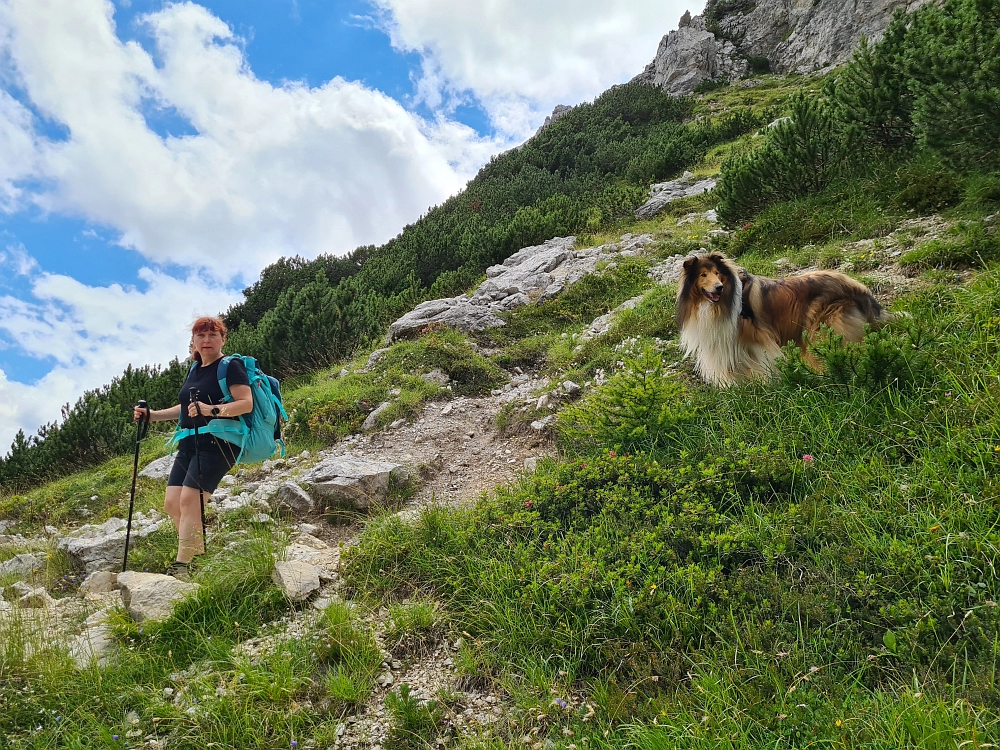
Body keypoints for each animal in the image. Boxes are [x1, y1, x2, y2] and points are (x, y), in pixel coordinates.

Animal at [676, 256, 888, 390]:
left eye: (717, 273)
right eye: (703, 275)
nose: (718, 287)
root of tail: (860, 287)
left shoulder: (758, 338)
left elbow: (764, 362)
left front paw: (769, 383)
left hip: (822, 328)